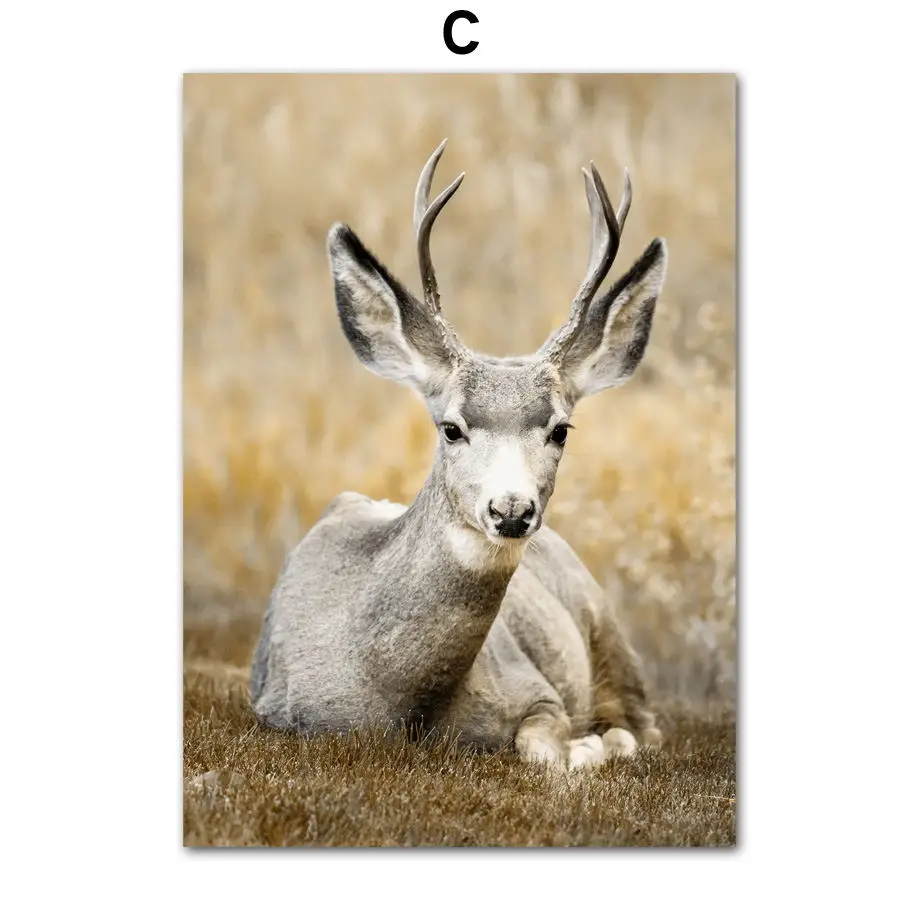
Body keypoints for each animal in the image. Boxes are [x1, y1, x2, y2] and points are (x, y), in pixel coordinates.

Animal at [250, 140, 668, 770]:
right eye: (451, 428)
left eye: (561, 430)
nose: (512, 510)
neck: (401, 702)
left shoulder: (536, 691)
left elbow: (544, 748)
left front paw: (588, 746)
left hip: (608, 629)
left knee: (648, 725)